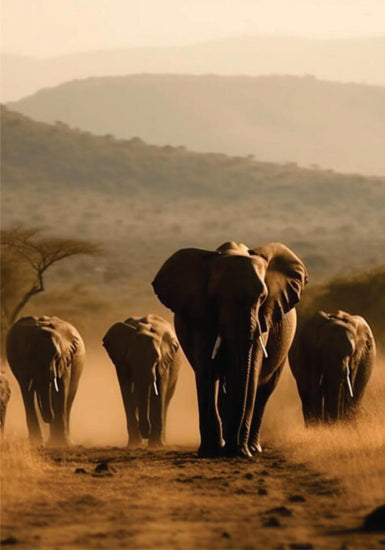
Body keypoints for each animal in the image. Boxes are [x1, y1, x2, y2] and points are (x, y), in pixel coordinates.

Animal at [6, 314, 85, 448]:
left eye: (57, 357)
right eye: (30, 356)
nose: (48, 418)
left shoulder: (65, 359)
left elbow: (61, 389)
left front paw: (60, 444)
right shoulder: (20, 361)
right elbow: (26, 391)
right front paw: (37, 443)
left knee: (69, 399)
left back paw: (67, 442)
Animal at [102, 314, 180, 448]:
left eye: (156, 358)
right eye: (130, 358)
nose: (146, 434)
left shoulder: (164, 361)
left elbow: (159, 391)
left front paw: (155, 445)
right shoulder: (121, 361)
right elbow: (126, 391)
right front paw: (135, 445)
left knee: (166, 400)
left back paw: (161, 442)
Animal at [152, 244, 308, 460]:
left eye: (262, 298)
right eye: (215, 297)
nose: (235, 450)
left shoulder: (263, 318)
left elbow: (252, 374)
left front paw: (240, 452)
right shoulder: (202, 317)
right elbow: (207, 371)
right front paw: (209, 452)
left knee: (264, 391)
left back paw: (253, 448)